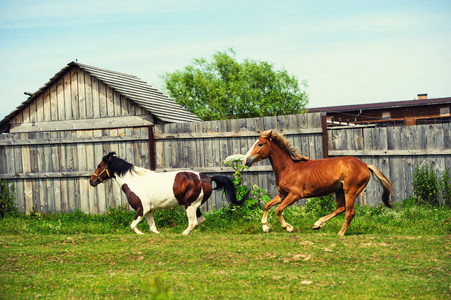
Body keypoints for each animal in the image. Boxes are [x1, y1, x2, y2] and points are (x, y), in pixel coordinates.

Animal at [90, 152, 249, 234]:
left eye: (99, 165)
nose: (92, 181)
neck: (133, 181)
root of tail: (207, 178)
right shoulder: (148, 211)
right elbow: (153, 228)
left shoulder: (142, 209)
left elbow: (133, 226)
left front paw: (140, 234)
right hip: (195, 205)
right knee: (200, 221)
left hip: (190, 205)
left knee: (193, 223)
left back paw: (183, 234)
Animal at [244, 130, 392, 236]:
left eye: (260, 144)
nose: (246, 160)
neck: (288, 168)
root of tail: (365, 165)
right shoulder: (283, 194)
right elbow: (267, 205)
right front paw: (265, 227)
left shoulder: (295, 195)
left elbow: (279, 209)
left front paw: (288, 227)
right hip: (339, 190)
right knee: (341, 208)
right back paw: (318, 224)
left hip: (350, 191)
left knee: (350, 213)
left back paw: (339, 233)